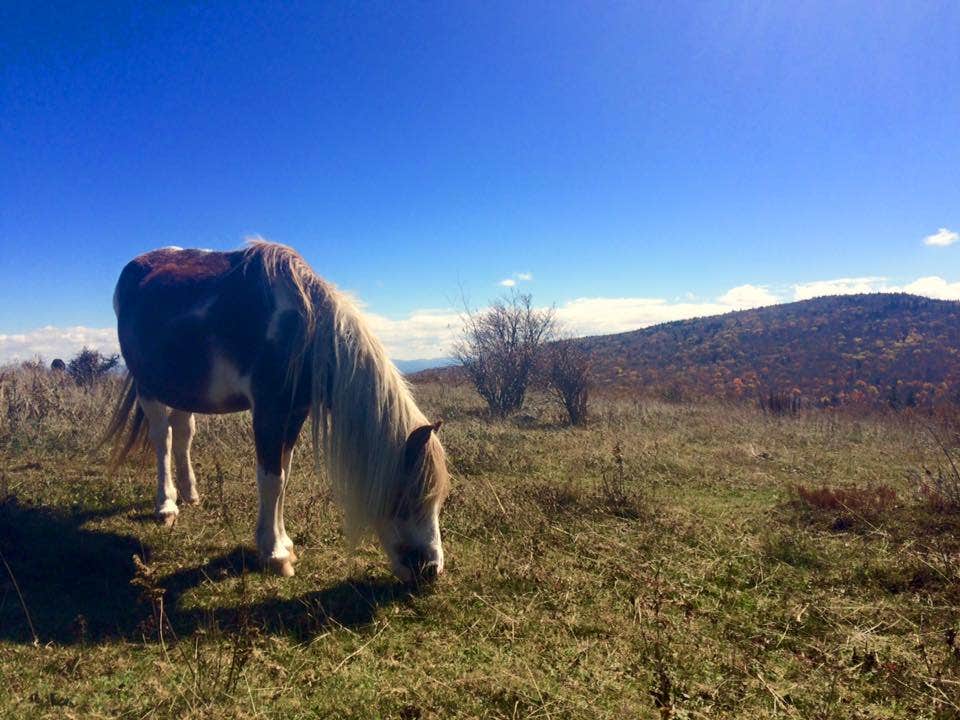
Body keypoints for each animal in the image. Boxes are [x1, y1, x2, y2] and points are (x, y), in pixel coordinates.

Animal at [103, 240, 450, 582]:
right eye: (410, 497)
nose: (431, 570)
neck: (302, 330)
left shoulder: (294, 412)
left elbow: (284, 473)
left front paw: (283, 542)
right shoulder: (268, 411)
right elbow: (271, 478)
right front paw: (274, 554)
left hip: (183, 390)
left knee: (183, 435)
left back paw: (190, 494)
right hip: (149, 387)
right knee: (162, 438)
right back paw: (167, 506)